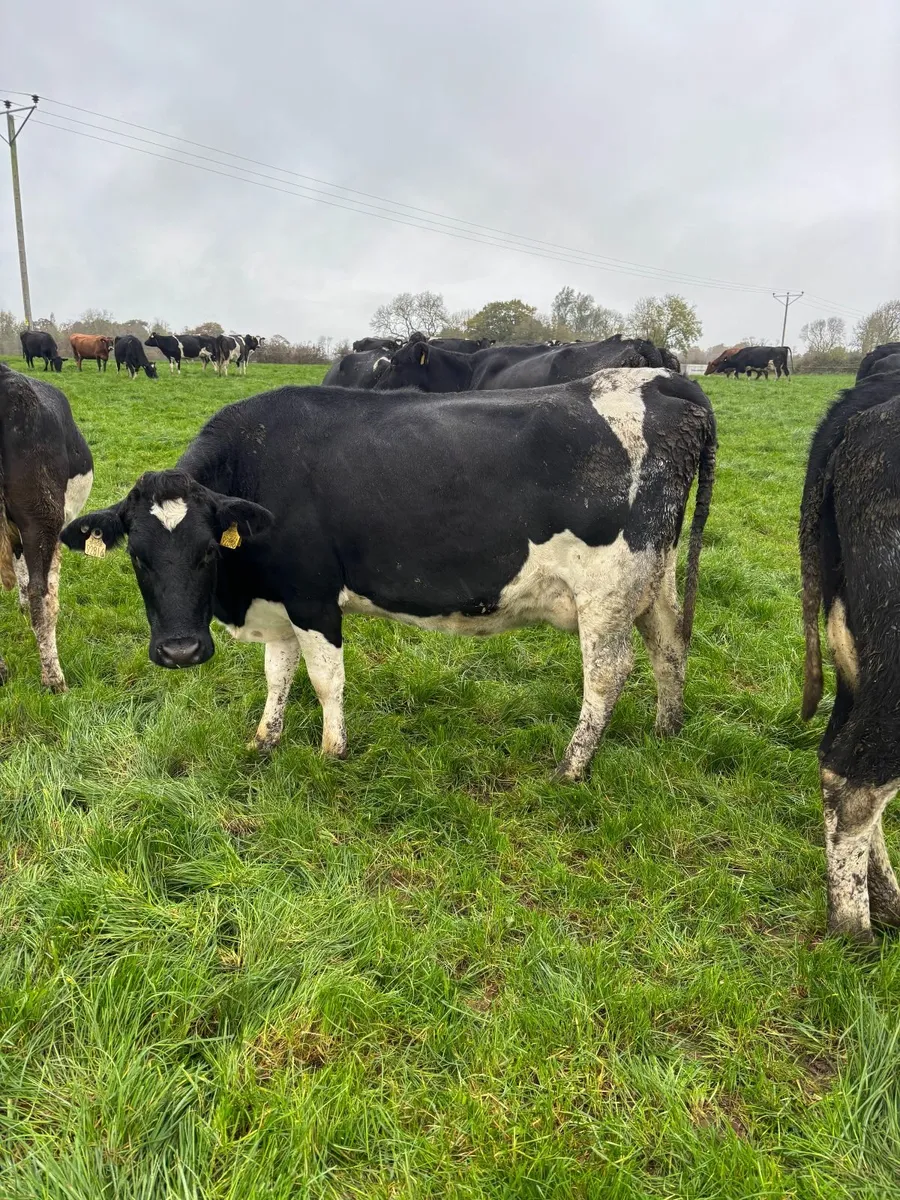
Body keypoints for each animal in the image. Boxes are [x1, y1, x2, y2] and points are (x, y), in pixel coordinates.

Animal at [62, 368, 716, 782]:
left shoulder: (312, 596)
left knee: (608, 673)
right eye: (138, 556)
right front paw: (264, 740)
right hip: (654, 580)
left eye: (205, 552)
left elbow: (325, 679)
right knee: (668, 647)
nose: (180, 651)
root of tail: (660, 378)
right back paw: (666, 731)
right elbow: (277, 675)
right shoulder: (279, 602)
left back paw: (571, 768)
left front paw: (332, 752)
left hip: (607, 591)